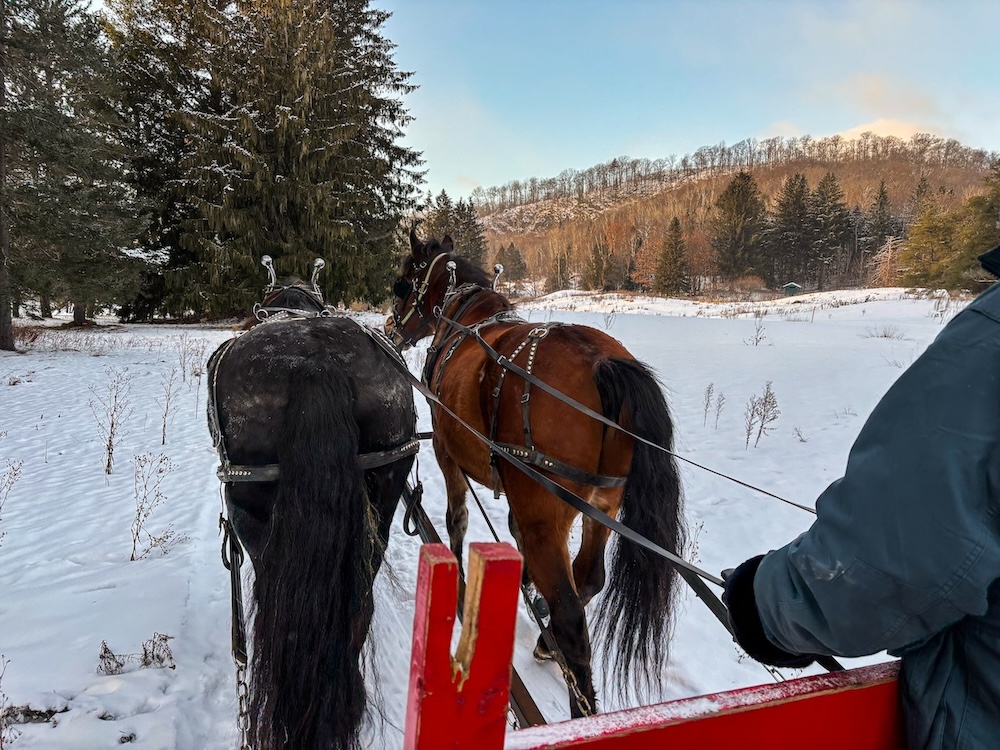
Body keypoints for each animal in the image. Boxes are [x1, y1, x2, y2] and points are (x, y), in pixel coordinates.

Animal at [390, 228, 688, 716]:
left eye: (403, 282)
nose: (391, 325)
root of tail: (604, 364)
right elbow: (513, 531)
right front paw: (526, 583)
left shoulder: (447, 452)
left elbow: (457, 521)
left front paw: (462, 584)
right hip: (600, 503)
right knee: (590, 578)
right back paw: (548, 641)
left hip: (546, 509)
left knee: (572, 620)